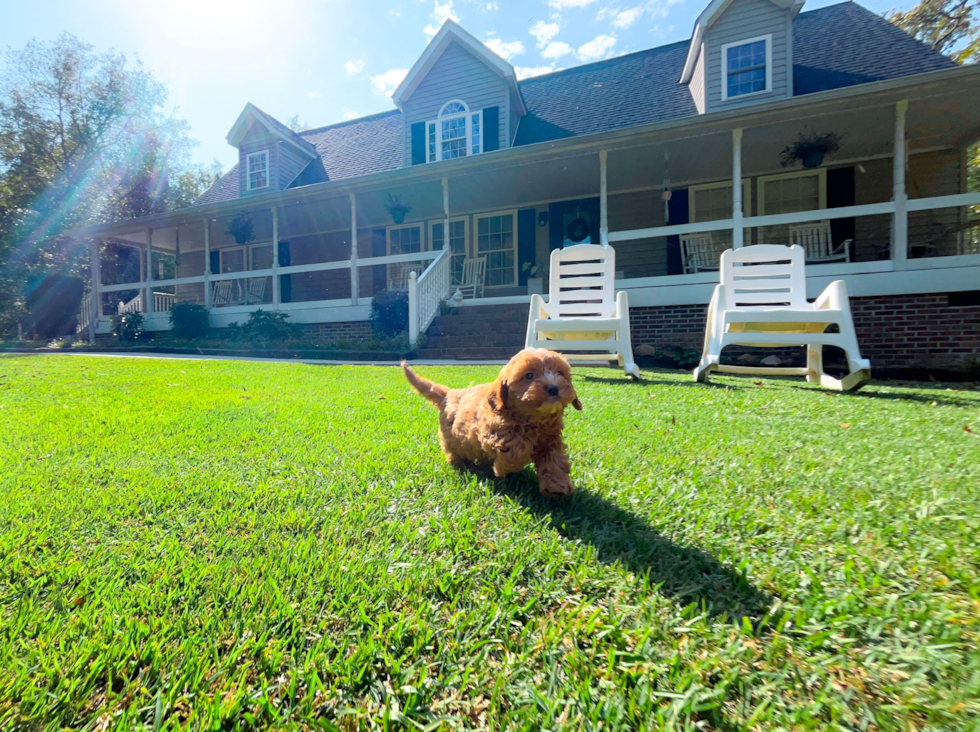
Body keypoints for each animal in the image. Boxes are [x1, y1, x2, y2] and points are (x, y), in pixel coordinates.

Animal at [400, 348, 580, 498]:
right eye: (529, 375)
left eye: (560, 373)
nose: (553, 388)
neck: (533, 421)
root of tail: (449, 394)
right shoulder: (491, 433)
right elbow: (516, 449)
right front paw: (502, 468)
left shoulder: (551, 441)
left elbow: (555, 461)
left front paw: (557, 485)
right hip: (452, 440)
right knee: (454, 453)